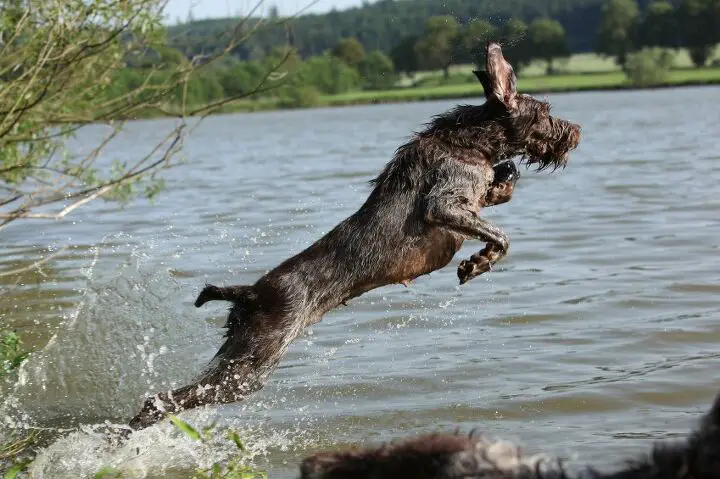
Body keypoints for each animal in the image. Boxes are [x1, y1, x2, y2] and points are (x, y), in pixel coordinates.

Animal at [126, 42, 584, 432]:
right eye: (544, 111)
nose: (576, 131)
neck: (471, 141)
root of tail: (250, 293)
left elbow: (504, 184)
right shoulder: (444, 205)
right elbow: (501, 233)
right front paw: (478, 262)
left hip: (237, 354)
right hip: (249, 368)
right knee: (159, 401)